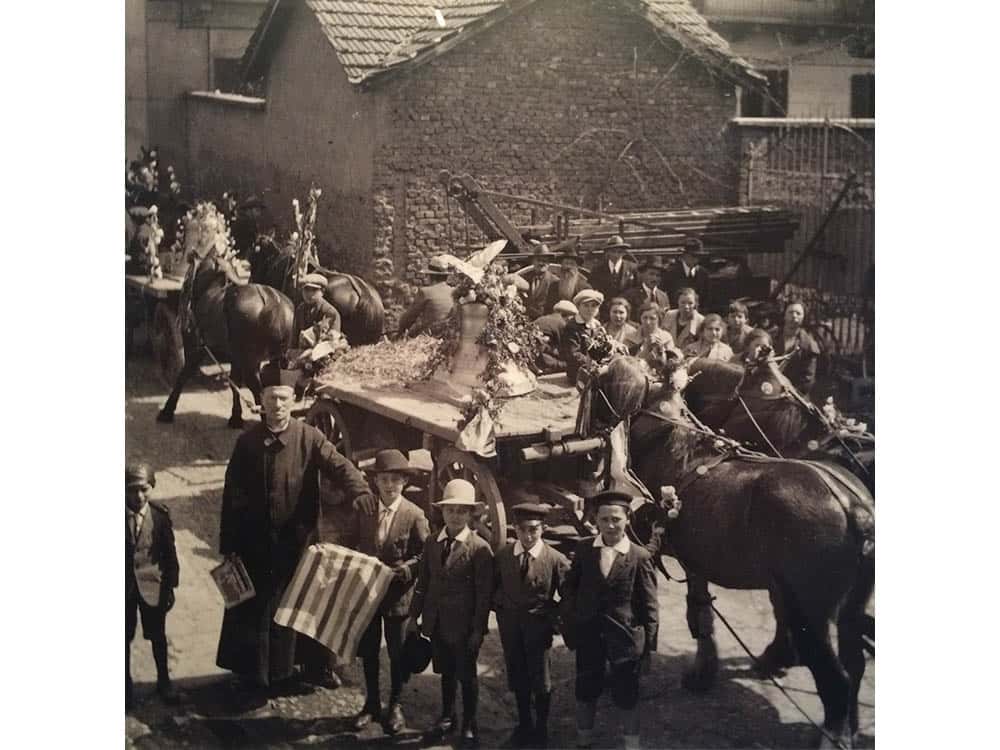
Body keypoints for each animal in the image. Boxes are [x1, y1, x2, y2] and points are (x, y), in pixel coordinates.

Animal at [157, 258, 292, 428]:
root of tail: (272, 302)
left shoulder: (195, 348)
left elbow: (183, 375)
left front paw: (167, 411)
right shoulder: (235, 357)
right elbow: (235, 383)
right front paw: (236, 417)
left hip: (249, 361)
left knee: (258, 389)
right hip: (273, 359)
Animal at [596, 356, 872, 748]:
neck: (674, 447)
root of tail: (855, 509)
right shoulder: (700, 561)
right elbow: (702, 609)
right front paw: (711, 667)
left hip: (812, 615)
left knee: (836, 682)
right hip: (849, 610)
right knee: (856, 664)